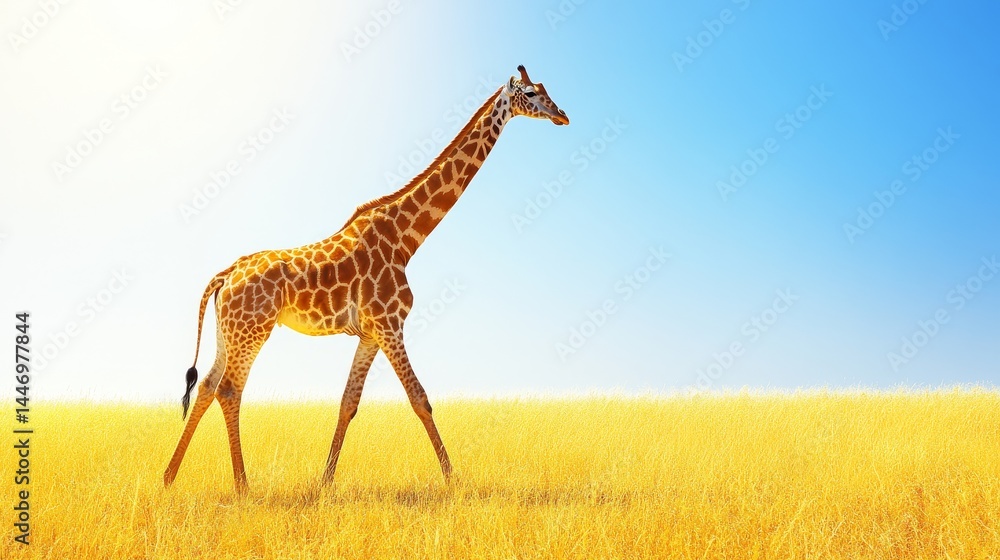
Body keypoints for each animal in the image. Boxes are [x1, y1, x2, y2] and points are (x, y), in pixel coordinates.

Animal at [163, 65, 569, 492]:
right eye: (530, 93)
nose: (562, 115)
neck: (406, 238)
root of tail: (225, 275)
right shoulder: (390, 324)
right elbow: (420, 398)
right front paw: (453, 480)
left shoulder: (371, 334)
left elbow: (348, 403)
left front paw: (325, 483)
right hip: (253, 329)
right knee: (229, 389)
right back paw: (242, 486)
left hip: (230, 331)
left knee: (207, 386)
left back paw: (169, 477)